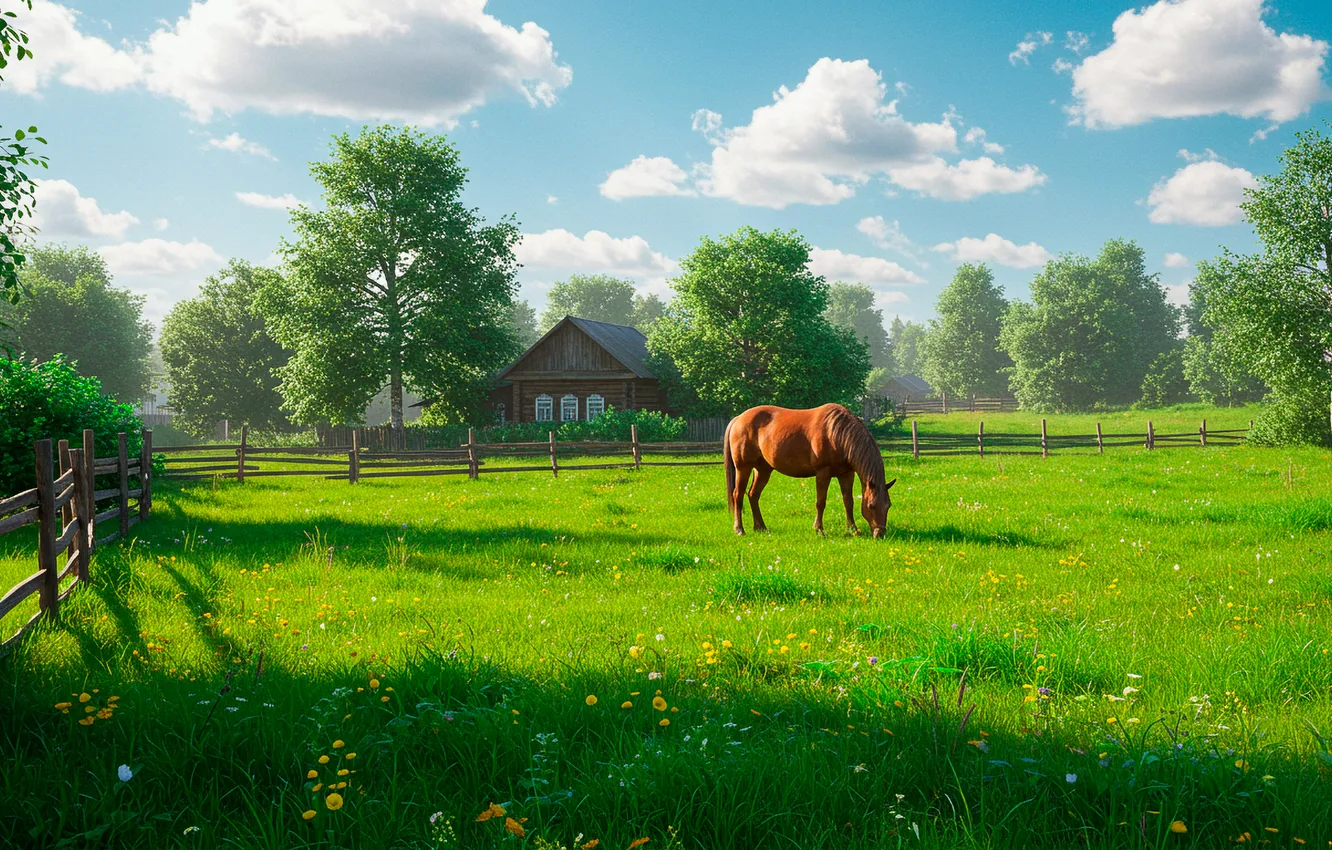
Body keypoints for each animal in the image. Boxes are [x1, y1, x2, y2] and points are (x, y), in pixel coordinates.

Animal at [723, 403, 896, 537]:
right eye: (871, 506)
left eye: (888, 506)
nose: (880, 533)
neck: (836, 433)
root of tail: (738, 419)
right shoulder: (823, 473)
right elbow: (820, 502)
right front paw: (819, 529)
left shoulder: (846, 474)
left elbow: (849, 501)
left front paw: (854, 529)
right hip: (743, 467)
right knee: (738, 495)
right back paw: (739, 529)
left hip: (763, 470)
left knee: (753, 495)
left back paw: (761, 527)